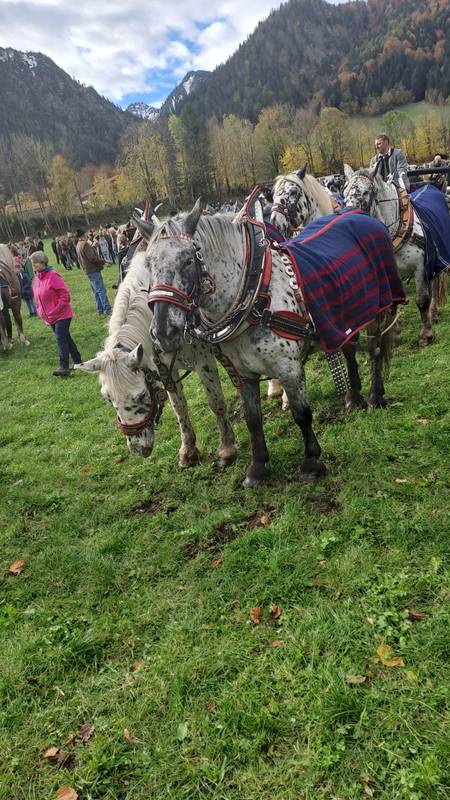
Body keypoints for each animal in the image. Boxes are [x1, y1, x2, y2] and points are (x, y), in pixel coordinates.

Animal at [75, 250, 237, 469]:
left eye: (142, 395)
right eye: (108, 399)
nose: (138, 448)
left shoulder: (204, 362)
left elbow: (216, 402)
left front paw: (227, 449)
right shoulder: (165, 369)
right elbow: (179, 407)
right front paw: (188, 451)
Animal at [136, 200, 404, 487]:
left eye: (188, 260)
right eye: (148, 265)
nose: (164, 332)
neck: (255, 294)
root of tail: (362, 214)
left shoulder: (289, 368)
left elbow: (301, 413)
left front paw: (312, 462)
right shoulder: (242, 374)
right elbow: (253, 420)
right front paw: (257, 468)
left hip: (378, 310)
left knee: (376, 350)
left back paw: (376, 395)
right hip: (342, 317)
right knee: (349, 348)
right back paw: (353, 396)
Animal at [343, 165, 448, 346]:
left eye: (366, 192)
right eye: (344, 194)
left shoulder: (420, 267)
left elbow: (421, 301)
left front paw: (425, 335)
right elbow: (393, 303)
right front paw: (394, 335)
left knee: (434, 286)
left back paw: (432, 313)